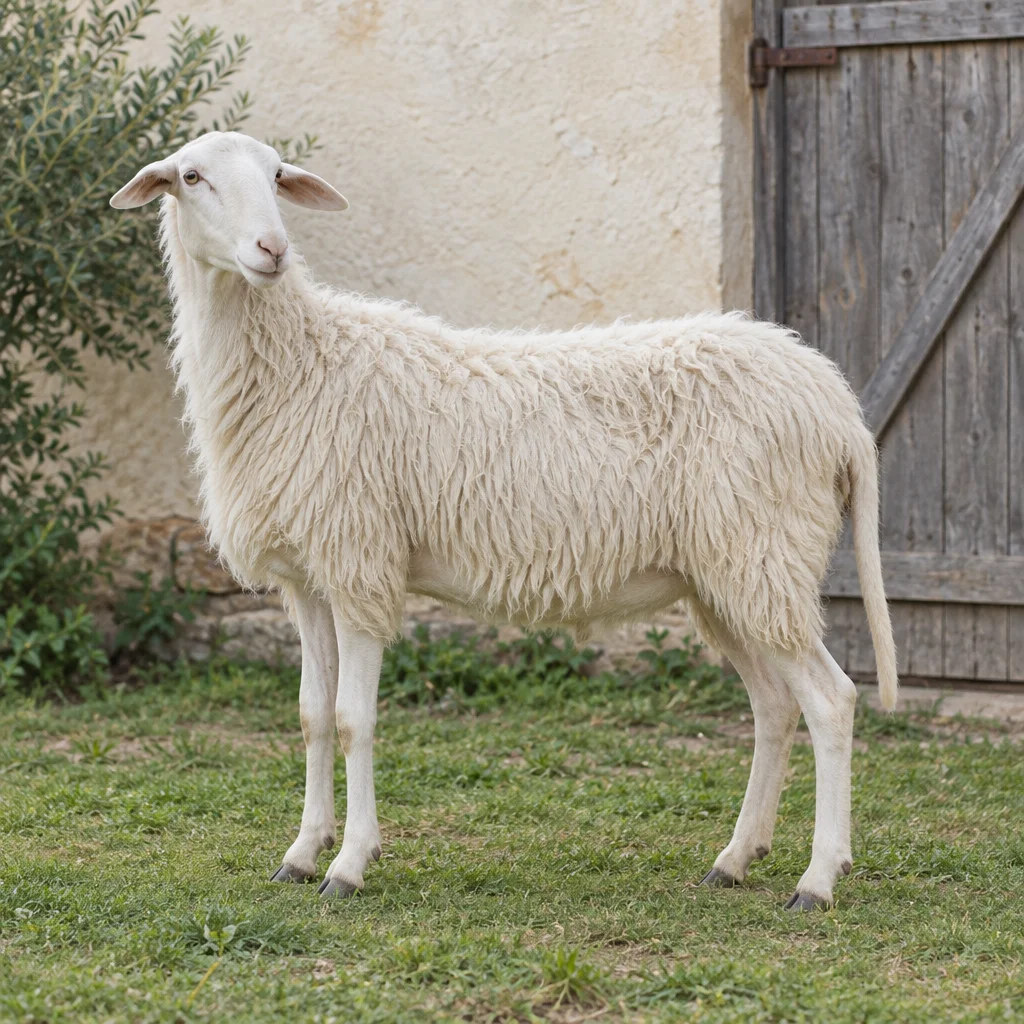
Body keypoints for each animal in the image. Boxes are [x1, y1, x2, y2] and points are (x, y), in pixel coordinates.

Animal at [111, 131, 898, 911]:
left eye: (278, 176)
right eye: (192, 177)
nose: (271, 249)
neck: (300, 362)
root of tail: (835, 403)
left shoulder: (361, 562)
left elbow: (352, 719)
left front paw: (349, 863)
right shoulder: (307, 576)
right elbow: (311, 715)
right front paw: (302, 853)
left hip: (764, 553)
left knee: (831, 702)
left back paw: (818, 879)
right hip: (726, 575)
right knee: (774, 705)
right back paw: (735, 859)